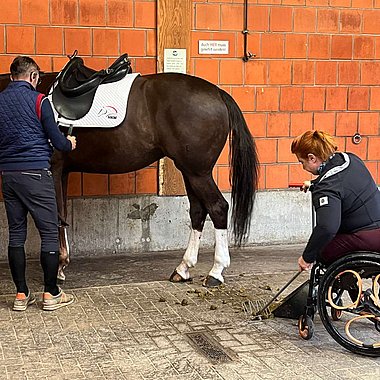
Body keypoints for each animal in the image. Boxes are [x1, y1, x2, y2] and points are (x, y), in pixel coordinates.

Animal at [0, 60, 258, 286]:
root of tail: (218, 93)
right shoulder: (61, 172)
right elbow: (61, 215)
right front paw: (62, 266)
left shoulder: (52, 170)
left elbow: (53, 217)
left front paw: (57, 270)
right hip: (189, 171)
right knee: (198, 211)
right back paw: (183, 269)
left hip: (198, 172)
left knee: (217, 208)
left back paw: (215, 272)